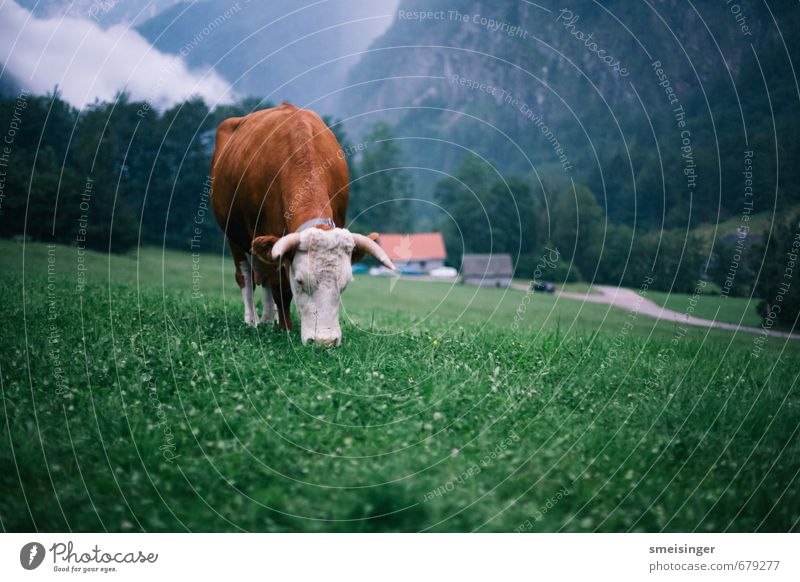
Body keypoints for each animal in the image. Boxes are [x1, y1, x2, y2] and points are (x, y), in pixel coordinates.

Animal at [211, 103, 396, 346]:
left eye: (344, 285)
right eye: (299, 281)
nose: (325, 342)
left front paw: (279, 323)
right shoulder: (267, 233)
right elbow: (280, 286)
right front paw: (286, 329)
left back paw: (268, 319)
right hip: (234, 235)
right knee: (246, 277)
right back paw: (253, 320)